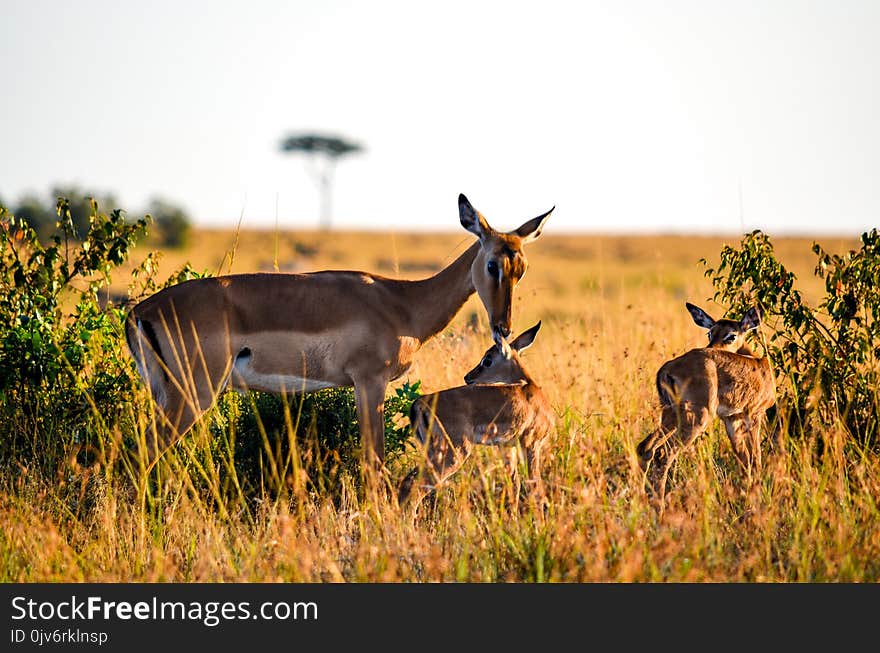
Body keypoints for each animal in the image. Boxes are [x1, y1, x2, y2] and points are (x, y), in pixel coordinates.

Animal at [398, 320, 552, 510]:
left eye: (487, 360)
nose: (468, 377)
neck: (530, 389)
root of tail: (419, 403)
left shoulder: (508, 447)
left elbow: (514, 486)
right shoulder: (531, 443)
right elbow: (536, 489)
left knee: (408, 481)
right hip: (454, 453)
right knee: (414, 486)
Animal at [640, 300, 776, 500]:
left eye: (731, 335)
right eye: (710, 332)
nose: (712, 347)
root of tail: (667, 369)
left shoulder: (731, 418)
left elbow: (743, 459)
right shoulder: (754, 414)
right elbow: (755, 458)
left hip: (670, 415)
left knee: (646, 447)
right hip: (697, 418)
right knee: (663, 454)